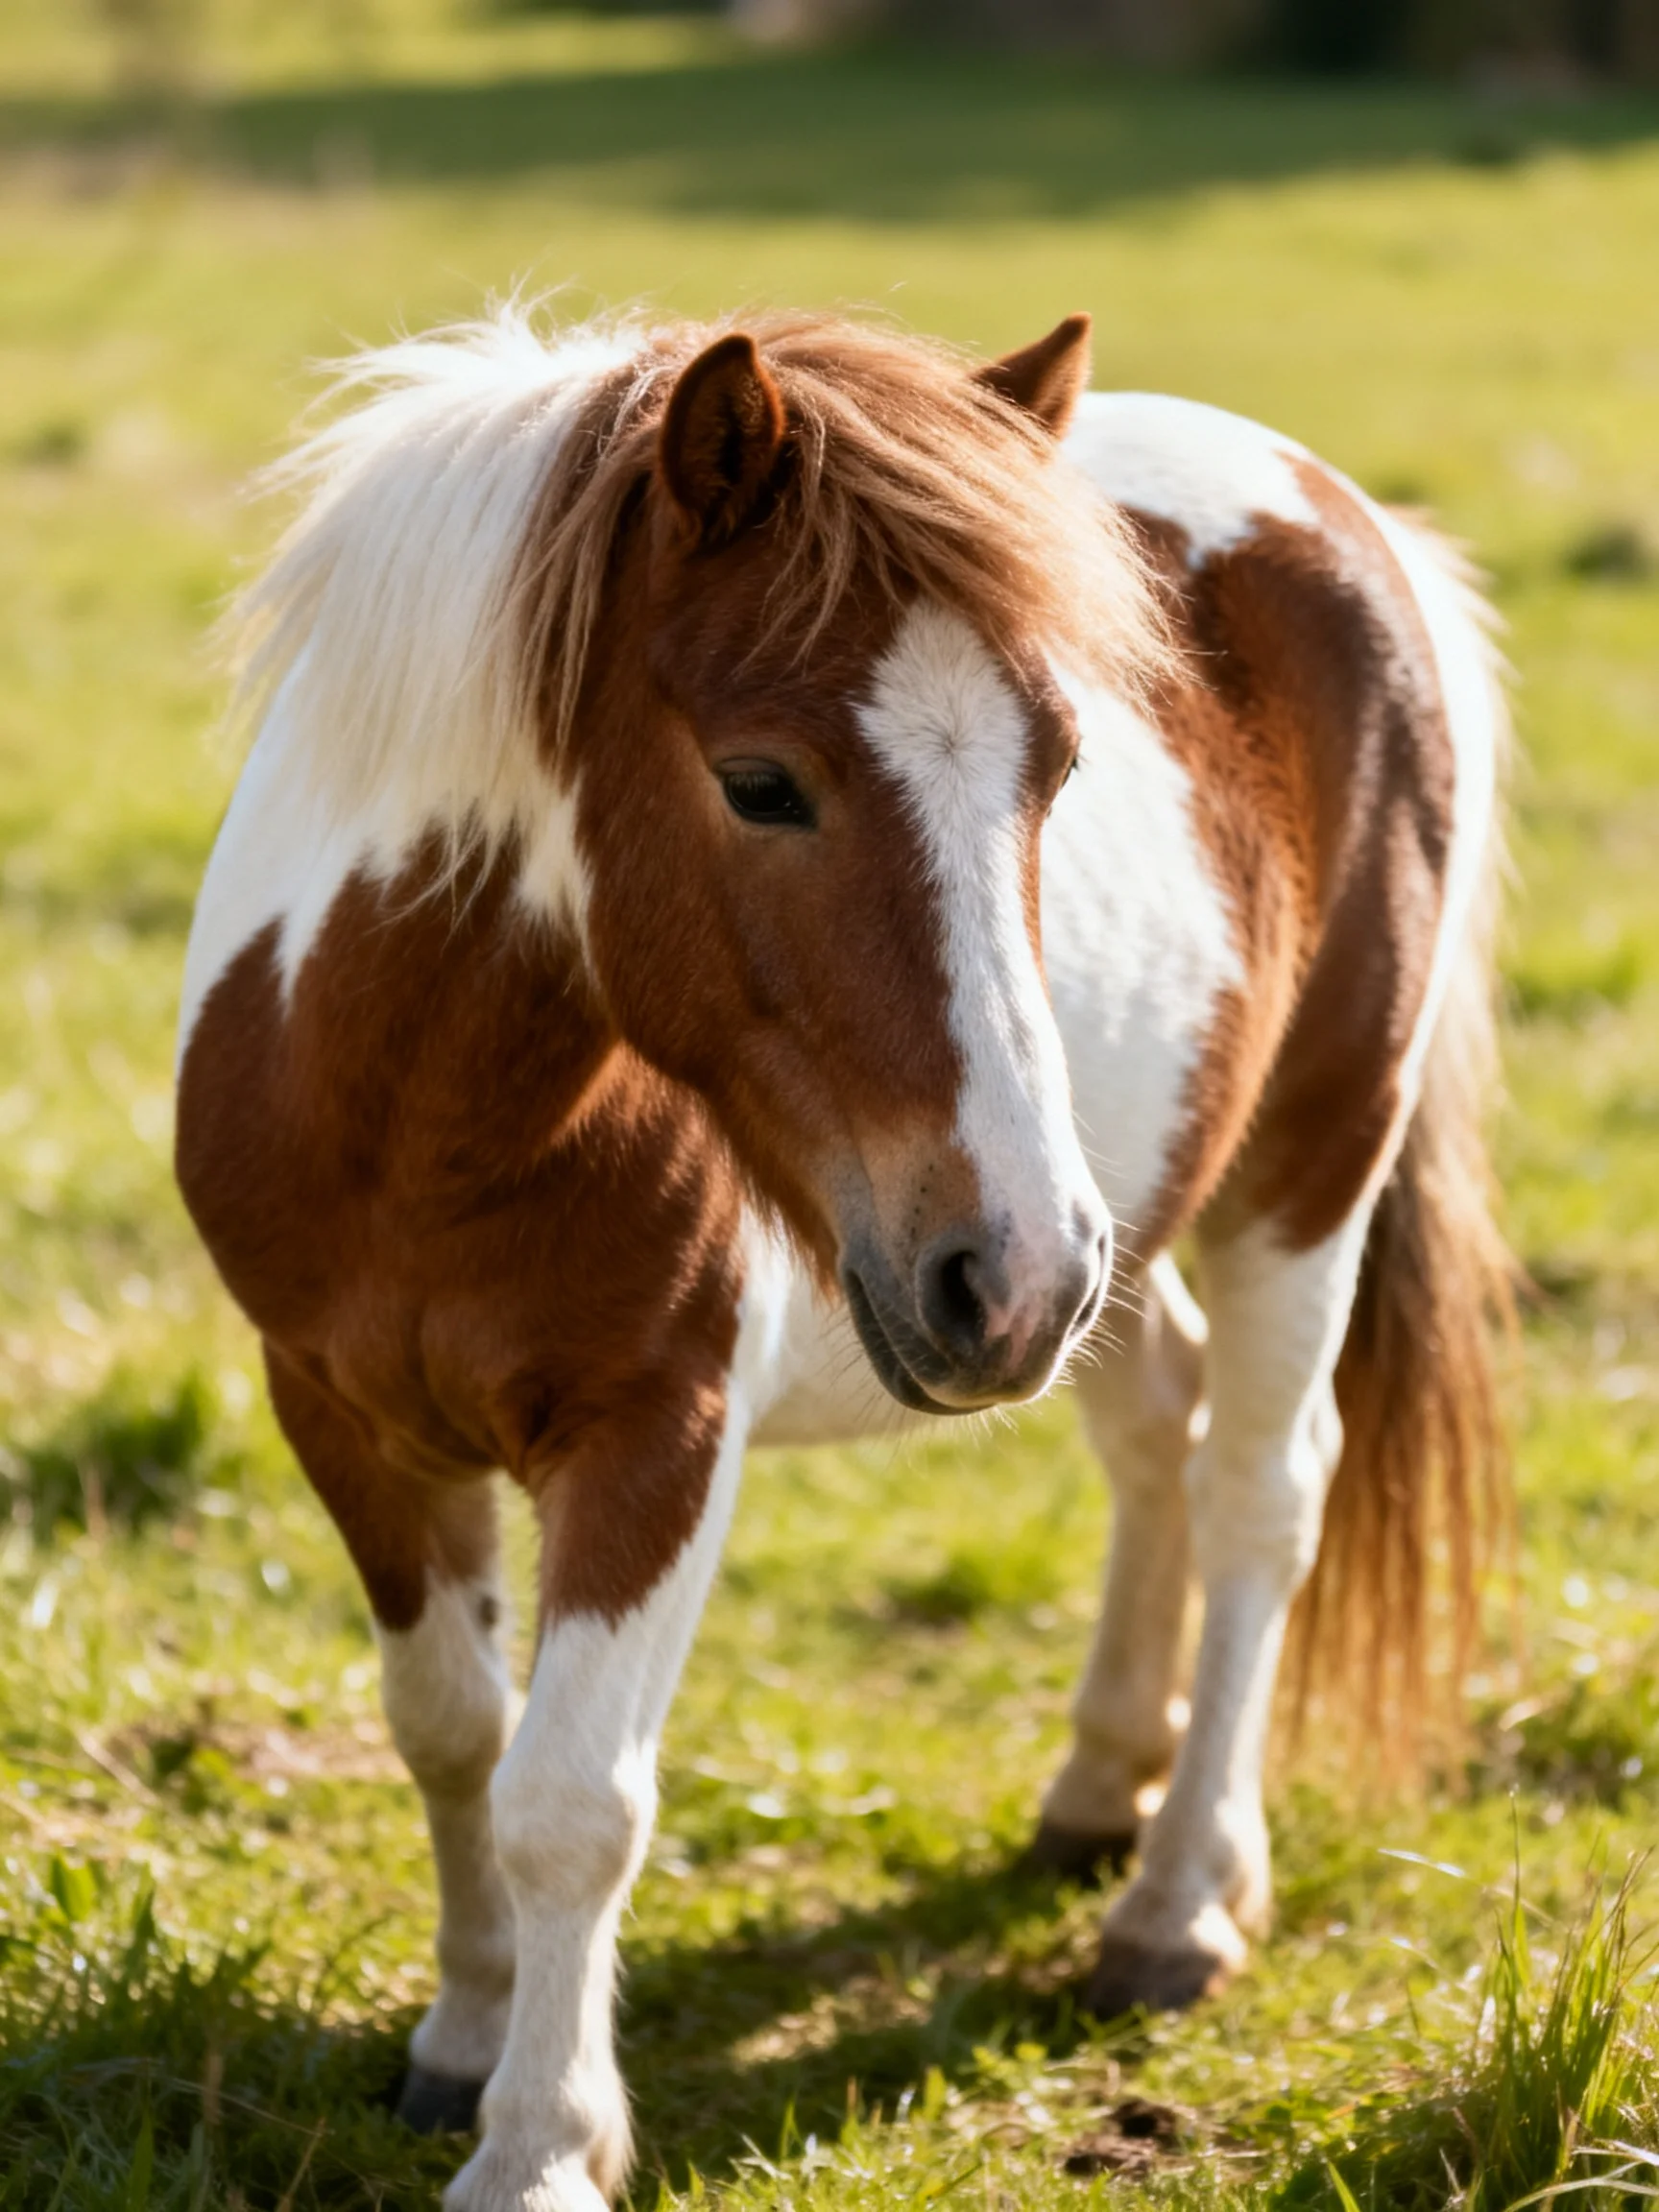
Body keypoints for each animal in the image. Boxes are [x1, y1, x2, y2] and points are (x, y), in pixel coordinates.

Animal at [174, 303, 1510, 2212]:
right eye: (759, 783)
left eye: (1062, 769)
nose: (1006, 1271)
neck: (421, 1115)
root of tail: (1339, 509)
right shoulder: (339, 1414)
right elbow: (449, 1728)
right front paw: (461, 2034)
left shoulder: (657, 1436)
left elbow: (572, 1797)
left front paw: (540, 2143)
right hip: (1103, 1244)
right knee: (1155, 1431)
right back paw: (1098, 1784)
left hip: (1282, 1176)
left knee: (1263, 1488)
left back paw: (1175, 1903)